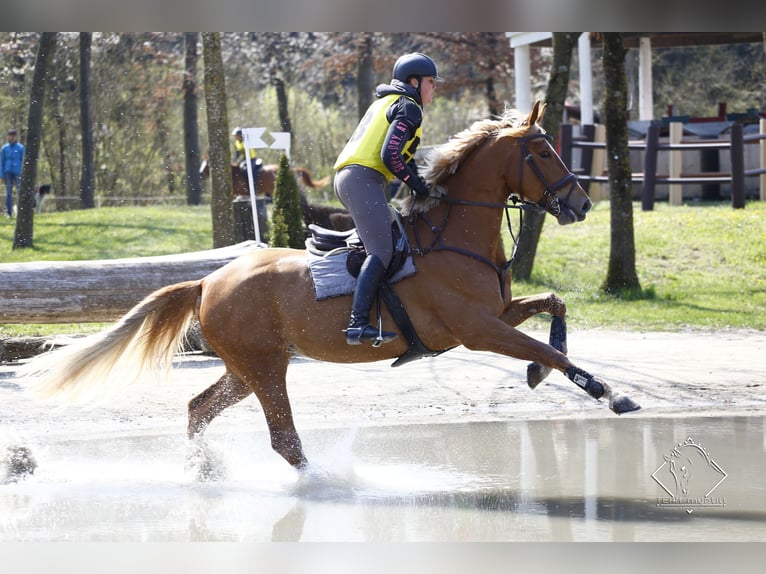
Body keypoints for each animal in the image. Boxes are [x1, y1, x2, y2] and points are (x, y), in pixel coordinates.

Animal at [19, 103, 640, 472]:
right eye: (543, 151)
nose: (581, 203)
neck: (455, 235)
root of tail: (206, 281)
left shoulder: (495, 316)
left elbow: (553, 308)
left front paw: (542, 370)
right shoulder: (477, 330)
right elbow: (550, 351)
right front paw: (608, 392)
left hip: (246, 367)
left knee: (200, 408)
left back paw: (207, 471)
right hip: (266, 366)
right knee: (282, 438)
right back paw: (325, 486)